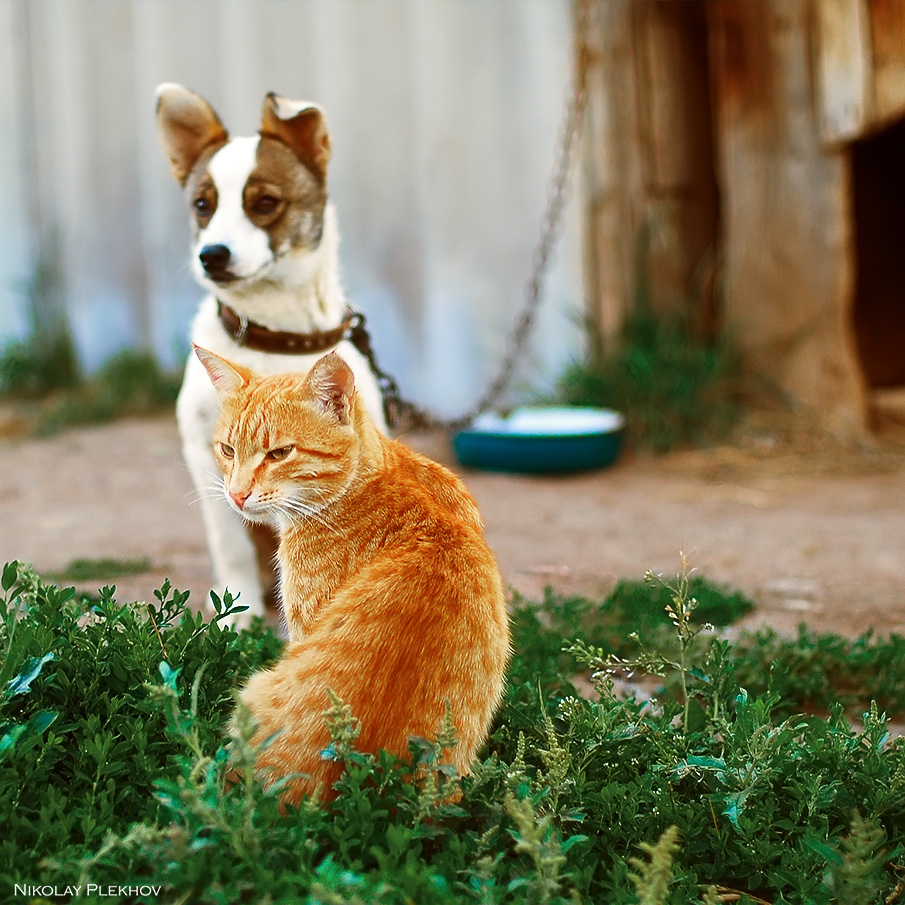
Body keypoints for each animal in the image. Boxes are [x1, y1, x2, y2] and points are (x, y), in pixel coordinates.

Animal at [157, 85, 384, 620]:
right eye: (203, 205)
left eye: (264, 202)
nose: (211, 256)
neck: (270, 334)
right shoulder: (204, 454)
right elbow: (232, 543)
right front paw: (238, 615)